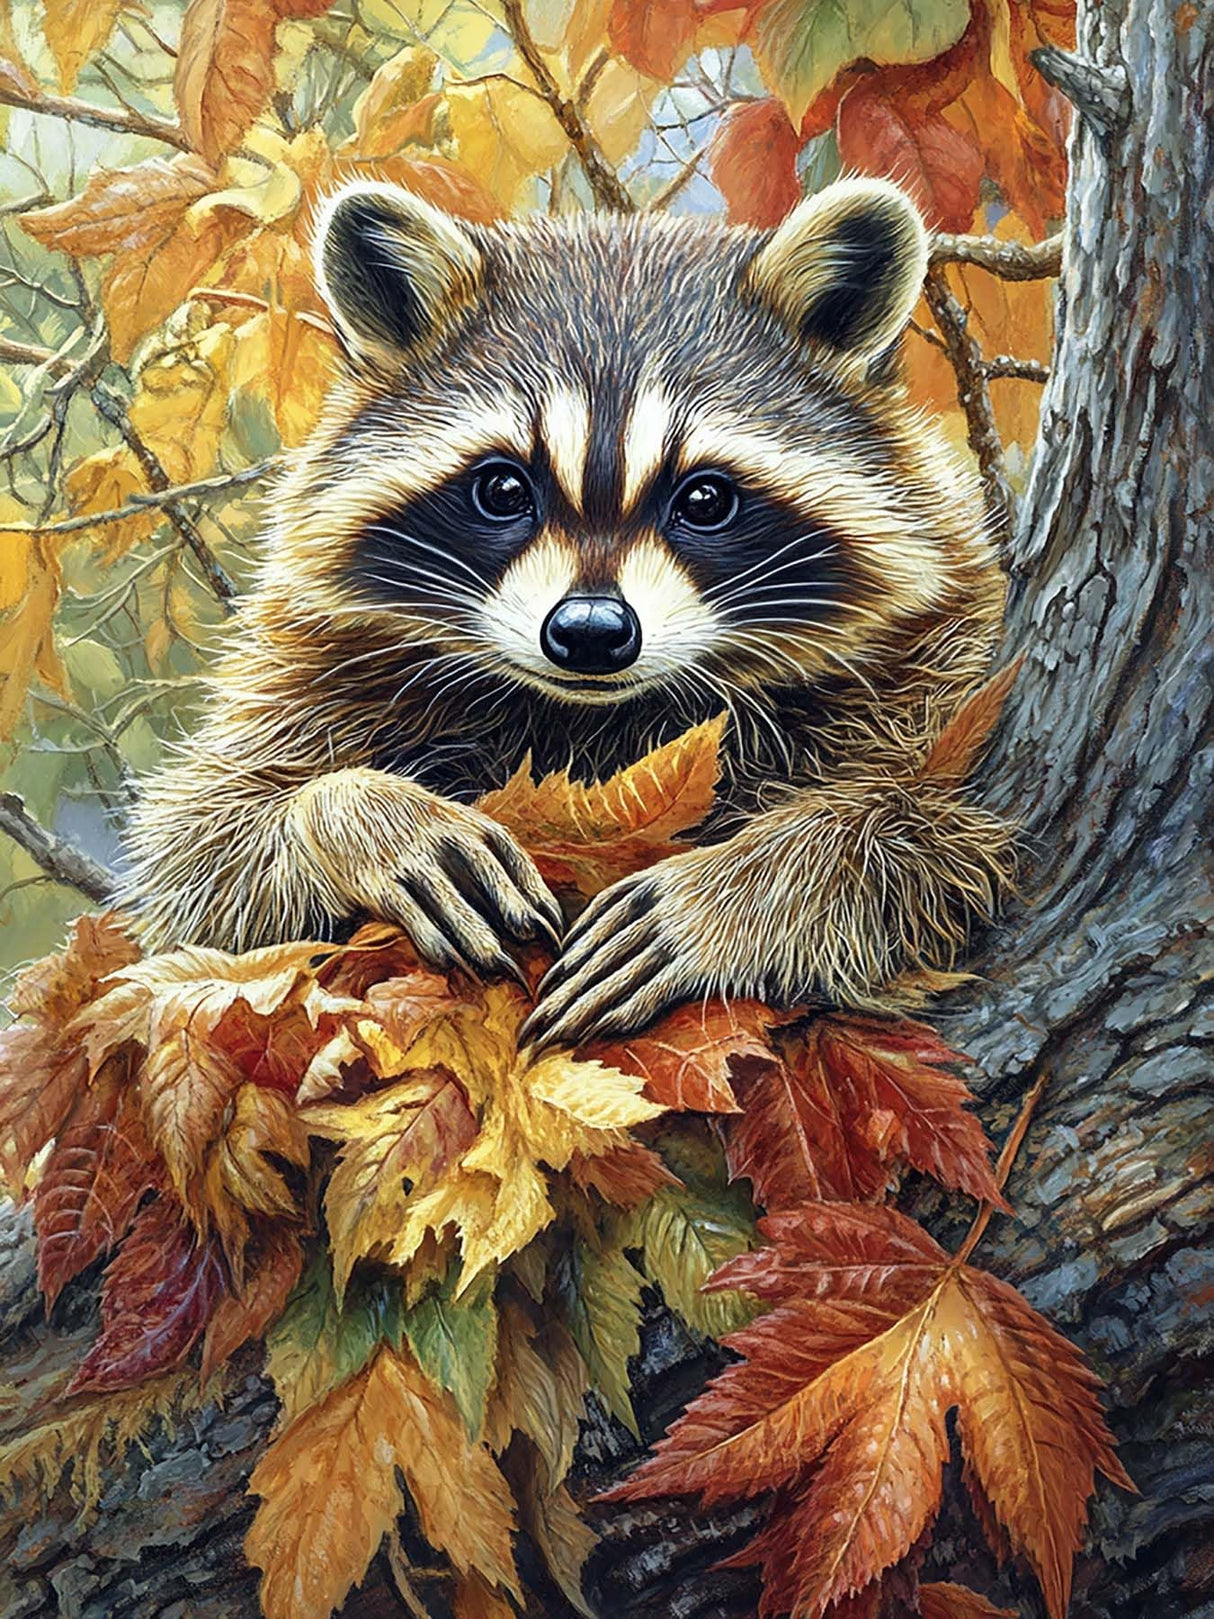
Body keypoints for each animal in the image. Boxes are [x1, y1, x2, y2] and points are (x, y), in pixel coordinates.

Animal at [122, 177, 1011, 1049]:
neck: (592, 719)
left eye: (705, 499)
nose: (589, 633)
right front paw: (360, 817)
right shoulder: (315, 662)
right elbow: (203, 857)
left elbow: (933, 824)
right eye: (502, 488)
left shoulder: (946, 661)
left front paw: (741, 890)